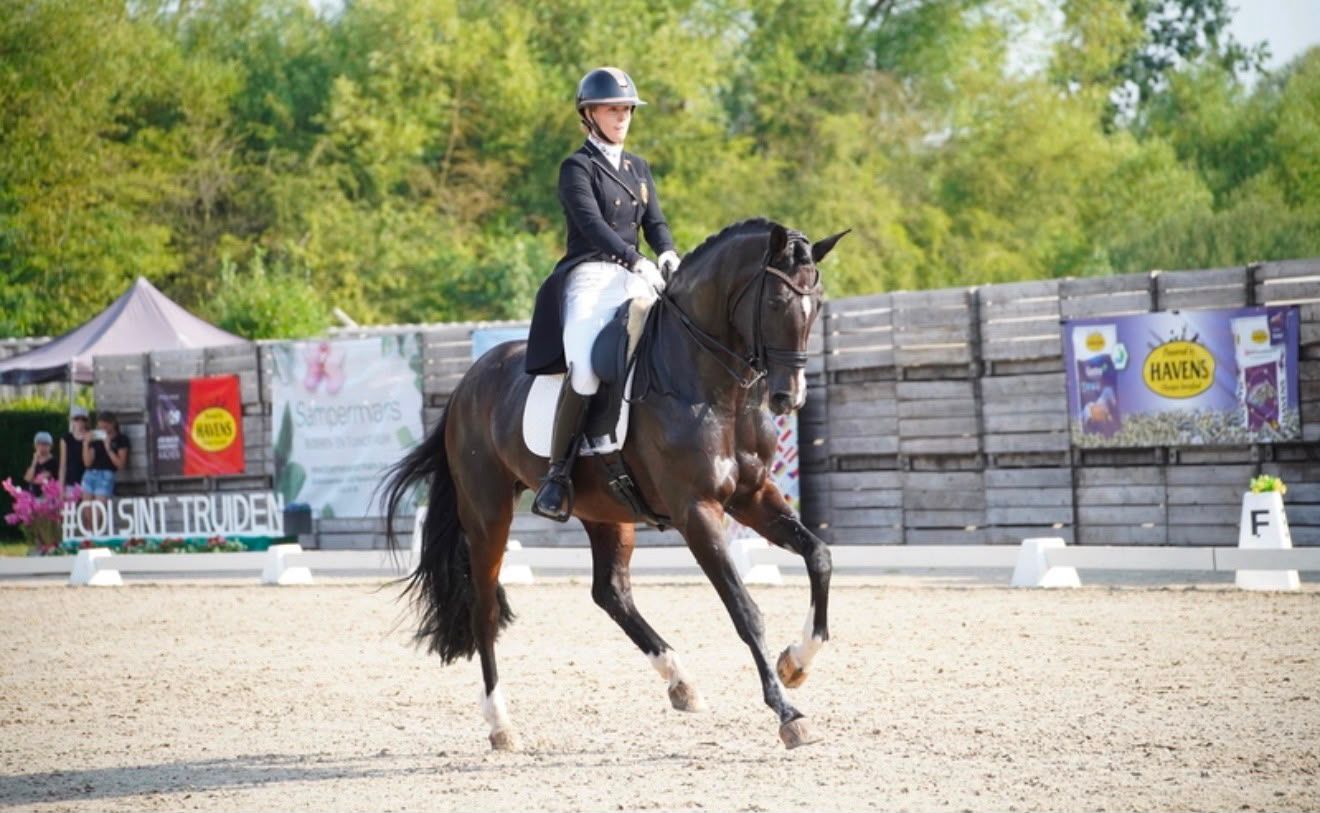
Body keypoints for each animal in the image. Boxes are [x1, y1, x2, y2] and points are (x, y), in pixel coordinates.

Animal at [383, 218, 847, 750]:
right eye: (773, 303)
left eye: (816, 304)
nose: (789, 397)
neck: (711, 388)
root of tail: (466, 384)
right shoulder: (697, 511)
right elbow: (744, 609)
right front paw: (788, 713)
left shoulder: (753, 497)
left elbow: (819, 556)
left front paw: (796, 663)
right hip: (487, 513)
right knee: (484, 607)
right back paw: (501, 724)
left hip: (605, 511)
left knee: (610, 592)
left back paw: (680, 682)